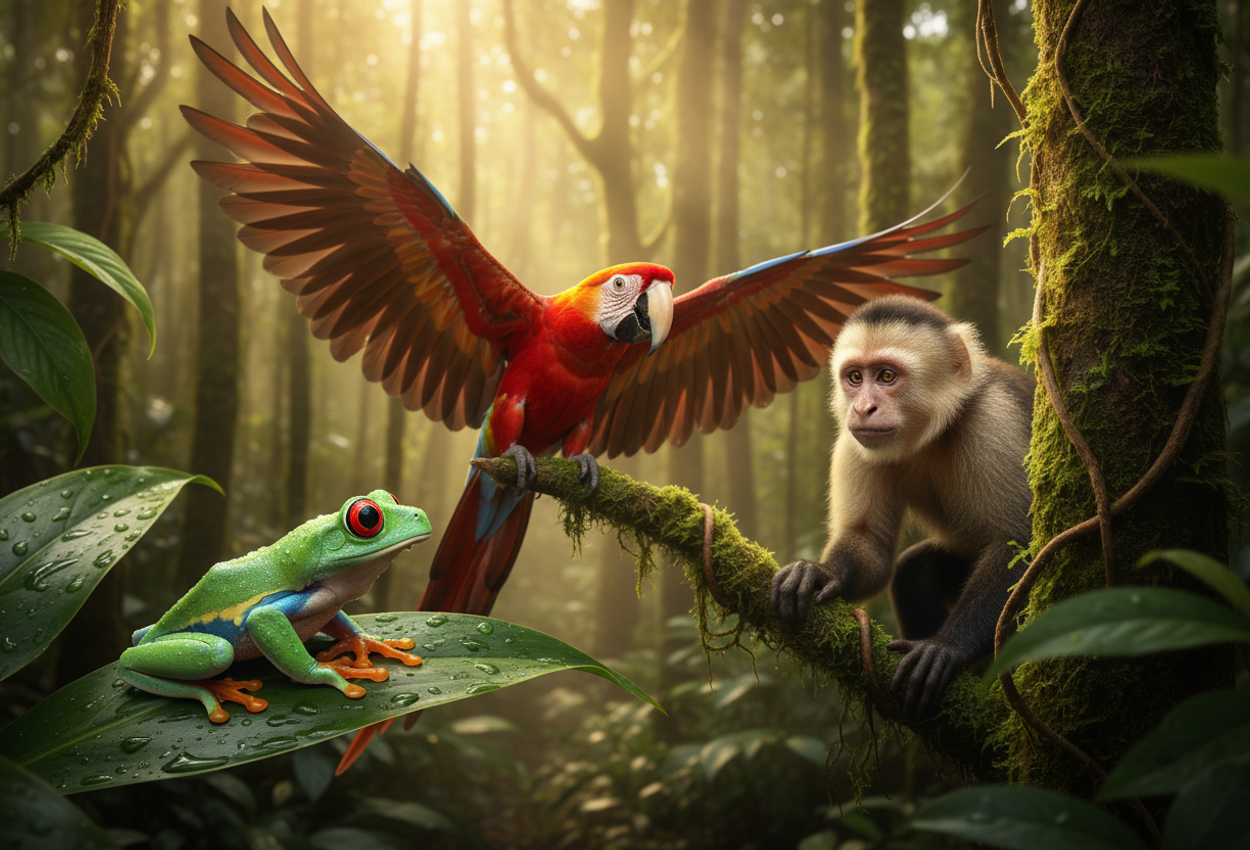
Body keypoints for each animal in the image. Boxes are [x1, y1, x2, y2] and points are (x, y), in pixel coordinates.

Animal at [770, 295, 1034, 719]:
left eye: (887, 377)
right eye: (855, 378)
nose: (863, 408)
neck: (932, 433)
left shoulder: (994, 420)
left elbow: (1018, 544)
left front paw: (946, 648)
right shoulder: (855, 440)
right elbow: (871, 548)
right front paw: (820, 573)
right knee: (914, 570)